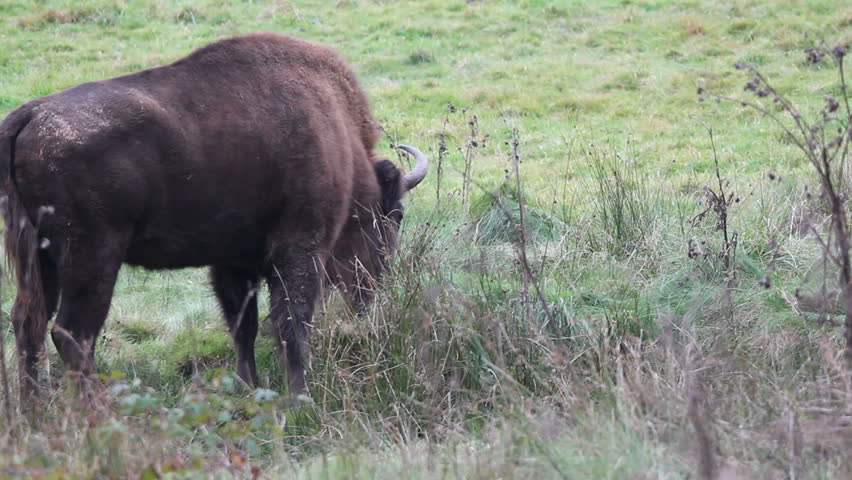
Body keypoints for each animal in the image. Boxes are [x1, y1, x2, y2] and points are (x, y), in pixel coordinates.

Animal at [0, 33, 427, 400]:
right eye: (396, 215)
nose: (377, 285)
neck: (342, 144)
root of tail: (29, 116)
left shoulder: (232, 261)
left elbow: (244, 325)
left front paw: (248, 388)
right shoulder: (299, 249)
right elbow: (292, 323)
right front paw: (300, 397)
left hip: (39, 257)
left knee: (28, 323)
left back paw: (33, 411)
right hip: (91, 257)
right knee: (72, 333)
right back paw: (93, 415)